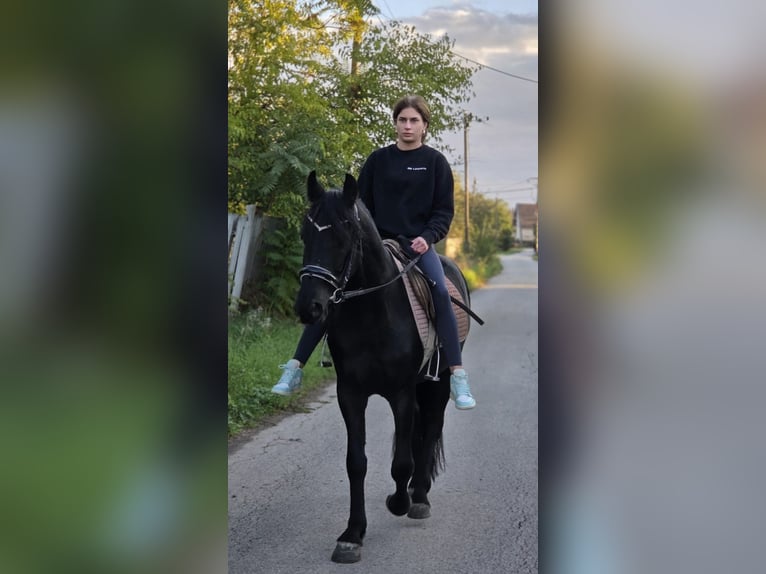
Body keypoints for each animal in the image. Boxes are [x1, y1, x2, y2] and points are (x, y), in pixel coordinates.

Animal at [295, 170, 472, 563]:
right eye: (305, 232)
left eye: (344, 234)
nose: (309, 308)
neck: (372, 313)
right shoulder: (350, 394)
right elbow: (355, 462)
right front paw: (352, 534)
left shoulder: (401, 393)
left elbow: (402, 461)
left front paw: (399, 501)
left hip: (438, 382)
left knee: (431, 428)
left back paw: (419, 496)